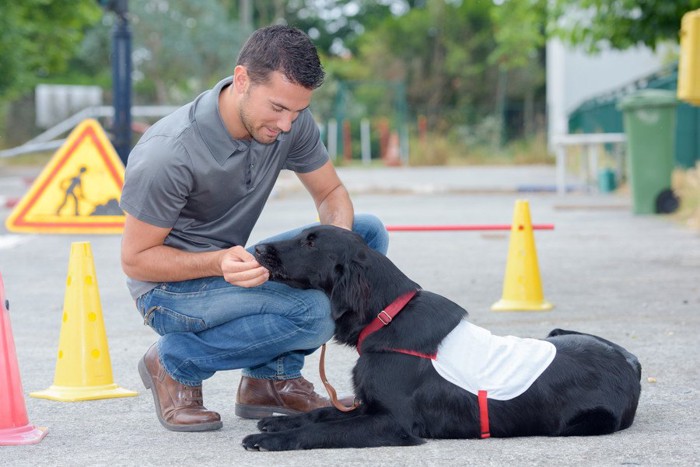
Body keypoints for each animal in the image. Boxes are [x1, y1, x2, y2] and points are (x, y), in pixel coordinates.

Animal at [243, 227, 644, 454]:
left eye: (311, 242)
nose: (258, 250)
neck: (389, 315)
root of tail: (631, 363)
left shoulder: (393, 422)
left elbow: (325, 429)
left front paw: (271, 440)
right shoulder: (369, 405)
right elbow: (320, 414)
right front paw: (279, 424)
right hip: (558, 332)